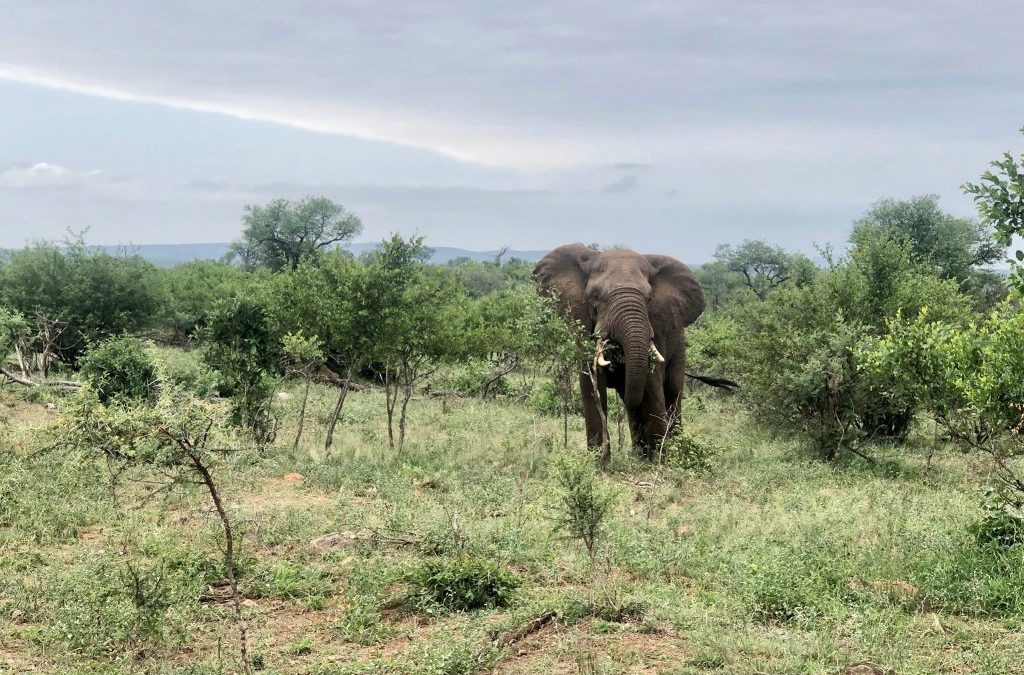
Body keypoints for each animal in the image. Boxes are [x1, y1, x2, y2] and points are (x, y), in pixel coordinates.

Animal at [532, 245, 708, 462]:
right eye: (596, 296)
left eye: (648, 297)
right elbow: (592, 388)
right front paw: (599, 464)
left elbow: (652, 387)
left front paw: (660, 462)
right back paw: (640, 455)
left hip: (679, 346)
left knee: (672, 393)